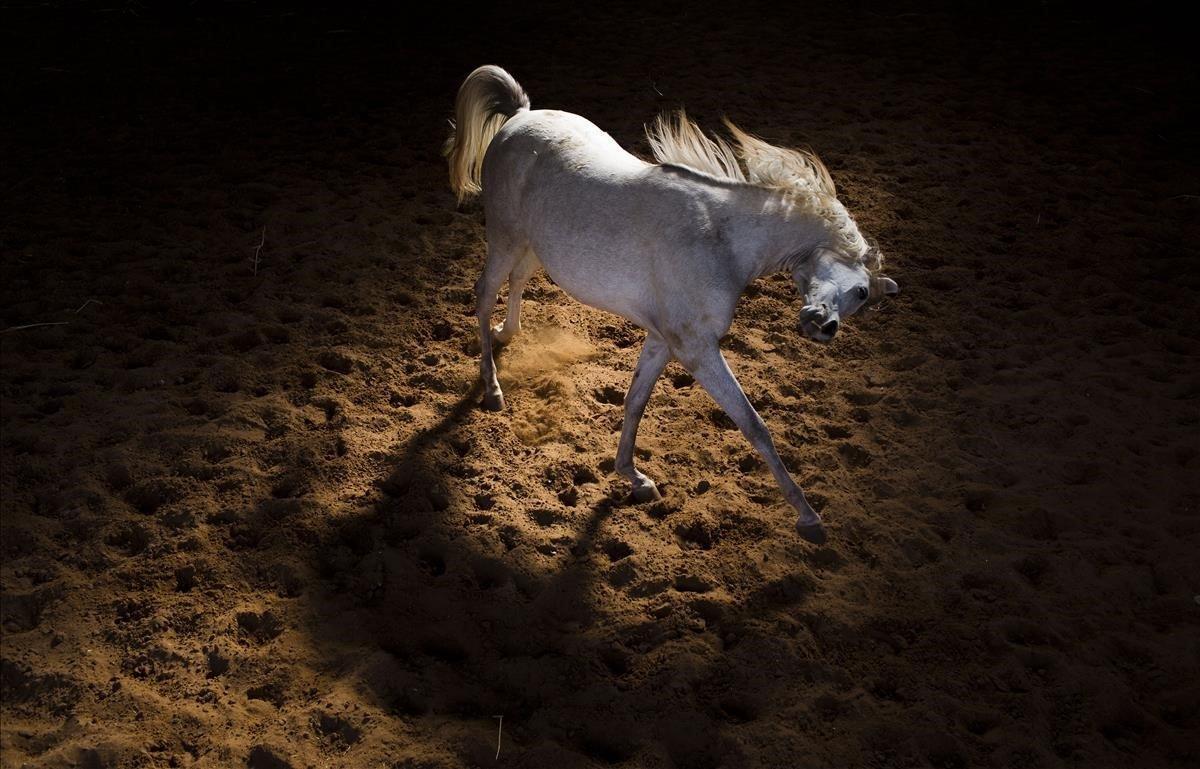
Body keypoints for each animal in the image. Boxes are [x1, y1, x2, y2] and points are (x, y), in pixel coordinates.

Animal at [446, 67, 897, 547]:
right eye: (862, 291)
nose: (824, 327)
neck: (721, 238)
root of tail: (520, 116)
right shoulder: (696, 349)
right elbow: (753, 424)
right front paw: (809, 518)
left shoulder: (663, 340)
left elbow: (635, 402)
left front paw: (635, 478)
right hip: (504, 238)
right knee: (484, 294)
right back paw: (492, 388)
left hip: (531, 247)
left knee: (516, 283)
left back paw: (508, 335)